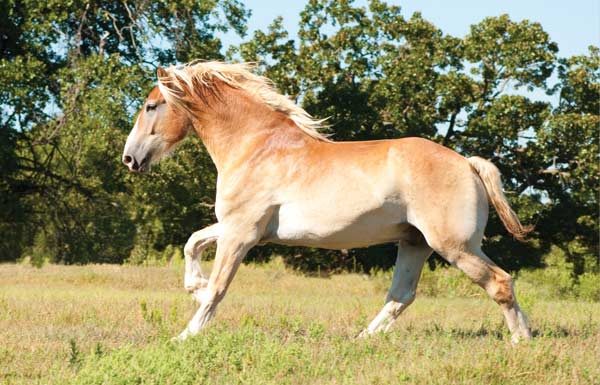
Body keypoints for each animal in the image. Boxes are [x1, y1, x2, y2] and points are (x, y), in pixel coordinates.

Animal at [119, 60, 532, 342]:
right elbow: (193, 244)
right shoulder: (241, 229)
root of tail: (467, 163)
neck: (256, 146)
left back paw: (521, 339)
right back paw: (362, 339)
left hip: (454, 246)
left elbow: (219, 287)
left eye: (151, 106)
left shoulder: (241, 233)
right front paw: (195, 288)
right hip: (415, 243)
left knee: (500, 283)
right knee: (401, 295)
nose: (129, 158)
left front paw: (186, 334)